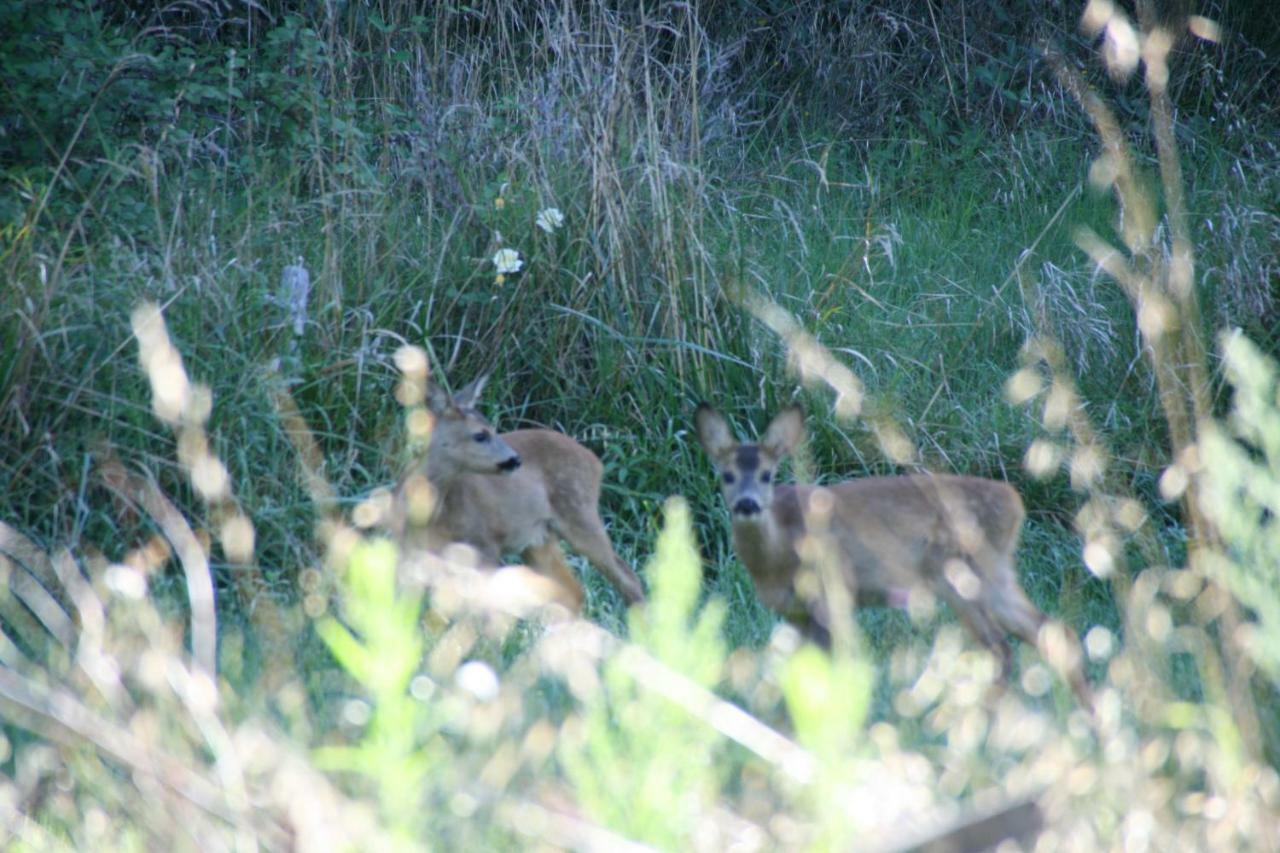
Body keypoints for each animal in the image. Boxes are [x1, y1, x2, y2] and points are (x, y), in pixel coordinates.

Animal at [391, 376, 645, 607]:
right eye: (480, 434)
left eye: (493, 430)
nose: (515, 460)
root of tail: (596, 461)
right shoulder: (409, 551)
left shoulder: (486, 542)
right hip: (539, 538)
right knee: (572, 591)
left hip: (581, 515)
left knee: (627, 577)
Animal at [696, 404, 1095, 701]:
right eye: (726, 475)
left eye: (767, 475)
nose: (747, 504)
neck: (778, 555)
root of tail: (1015, 503)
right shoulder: (793, 612)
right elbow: (802, 671)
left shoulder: (835, 587)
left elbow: (845, 661)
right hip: (995, 574)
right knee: (1049, 631)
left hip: (953, 572)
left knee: (1000, 647)